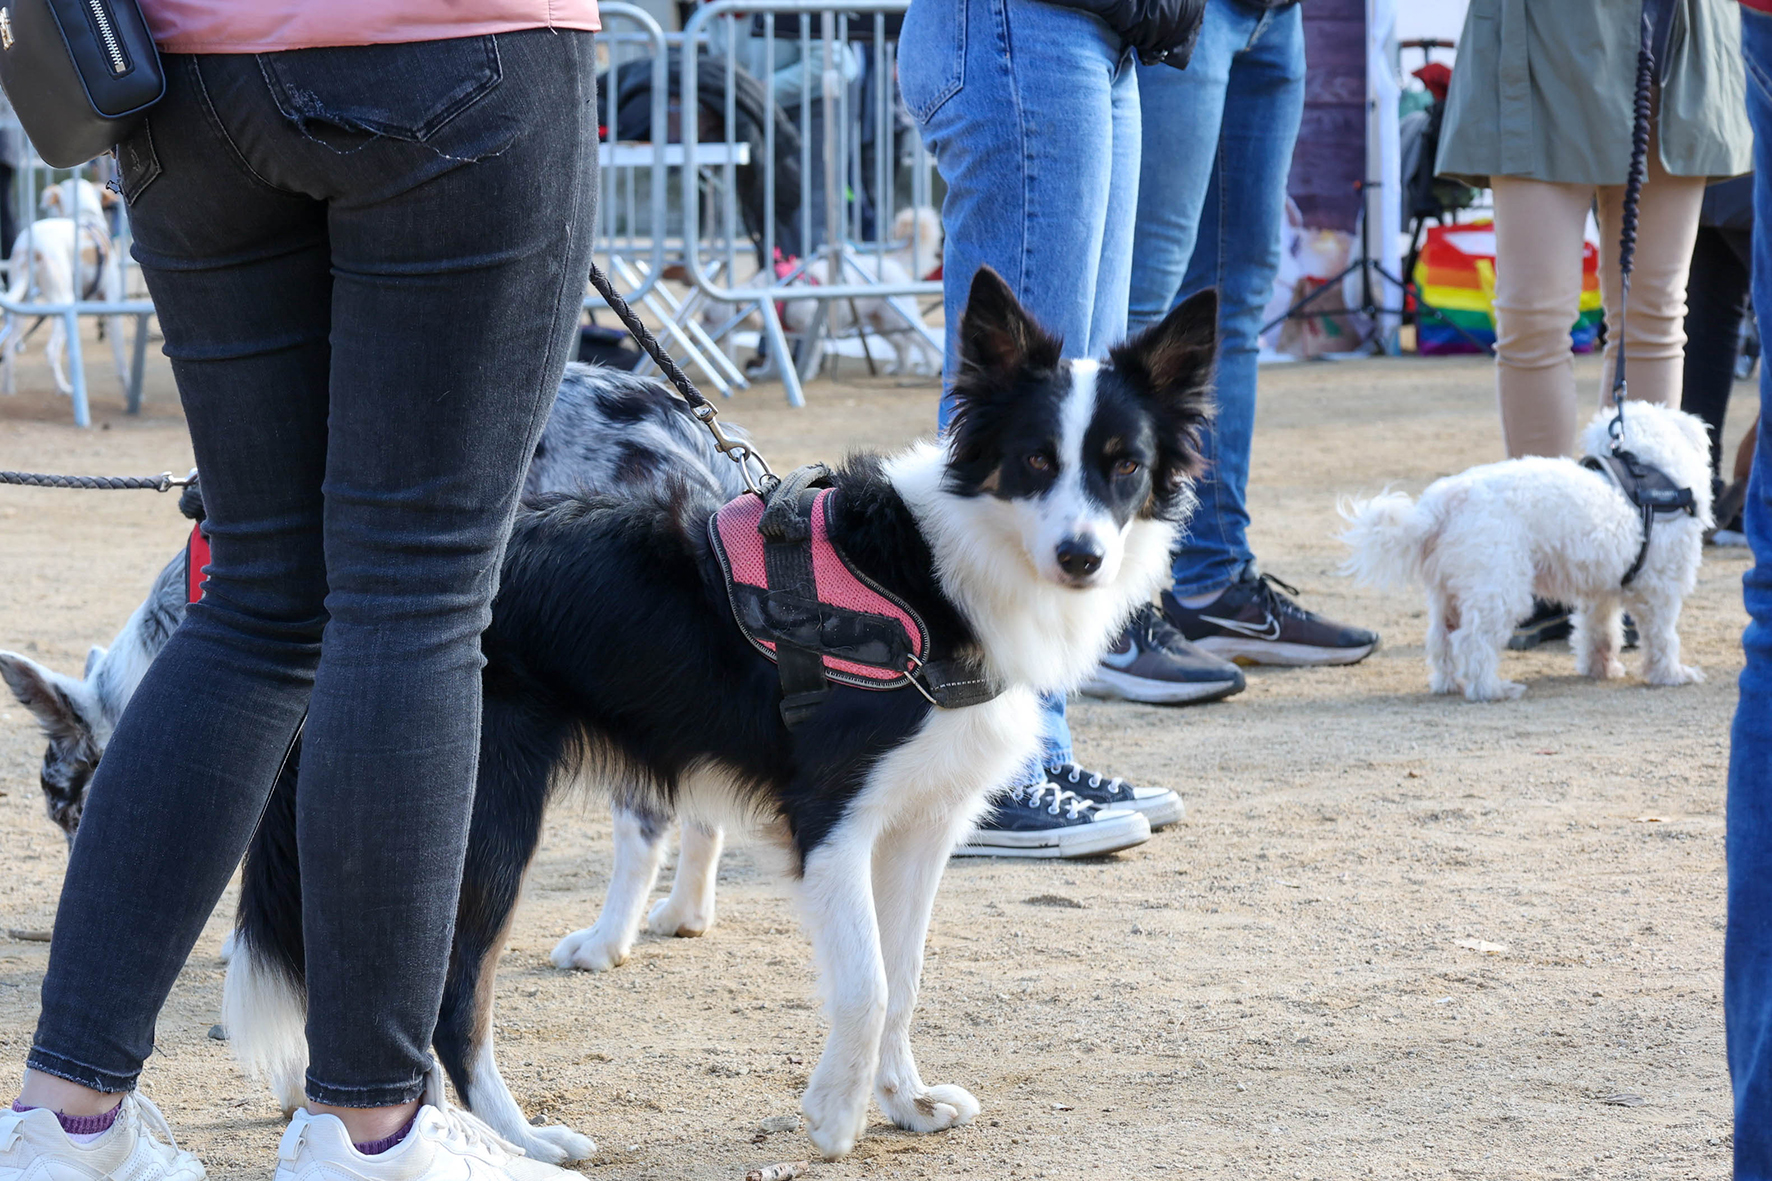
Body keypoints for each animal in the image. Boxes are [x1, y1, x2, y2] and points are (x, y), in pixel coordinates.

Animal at [1339, 402, 1715, 698]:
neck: (1649, 472)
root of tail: (1442, 504)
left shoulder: (1600, 591)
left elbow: (1599, 633)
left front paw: (1601, 669)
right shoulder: (1660, 591)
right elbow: (1663, 637)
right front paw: (1671, 675)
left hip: (1450, 592)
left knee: (1441, 640)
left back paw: (1449, 685)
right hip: (1499, 590)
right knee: (1472, 641)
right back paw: (1491, 689)